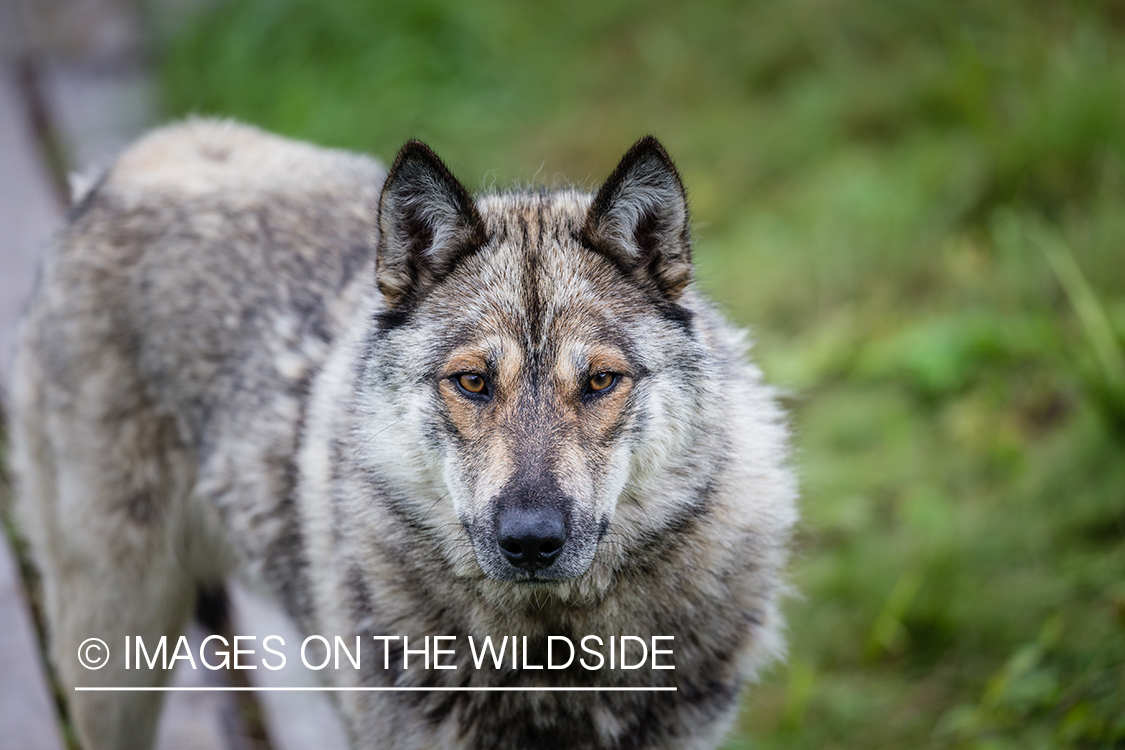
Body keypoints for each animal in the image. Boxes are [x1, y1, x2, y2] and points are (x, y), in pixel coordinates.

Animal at [10, 123, 801, 750]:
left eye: (601, 382)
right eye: (473, 382)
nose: (531, 540)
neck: (550, 657)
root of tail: (116, 170)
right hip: (112, 655)